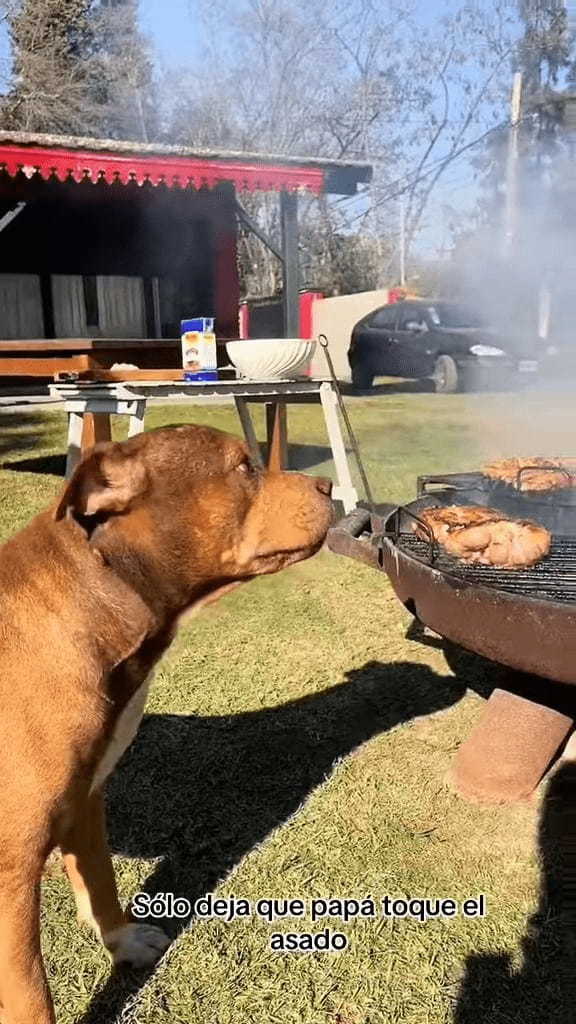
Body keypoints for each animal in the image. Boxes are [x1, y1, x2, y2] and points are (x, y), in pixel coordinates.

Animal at [0, 419, 332, 1019]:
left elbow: (101, 881)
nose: (328, 488)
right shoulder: (12, 863)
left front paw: (124, 942)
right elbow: (31, 993)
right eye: (243, 466)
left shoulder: (86, 797)